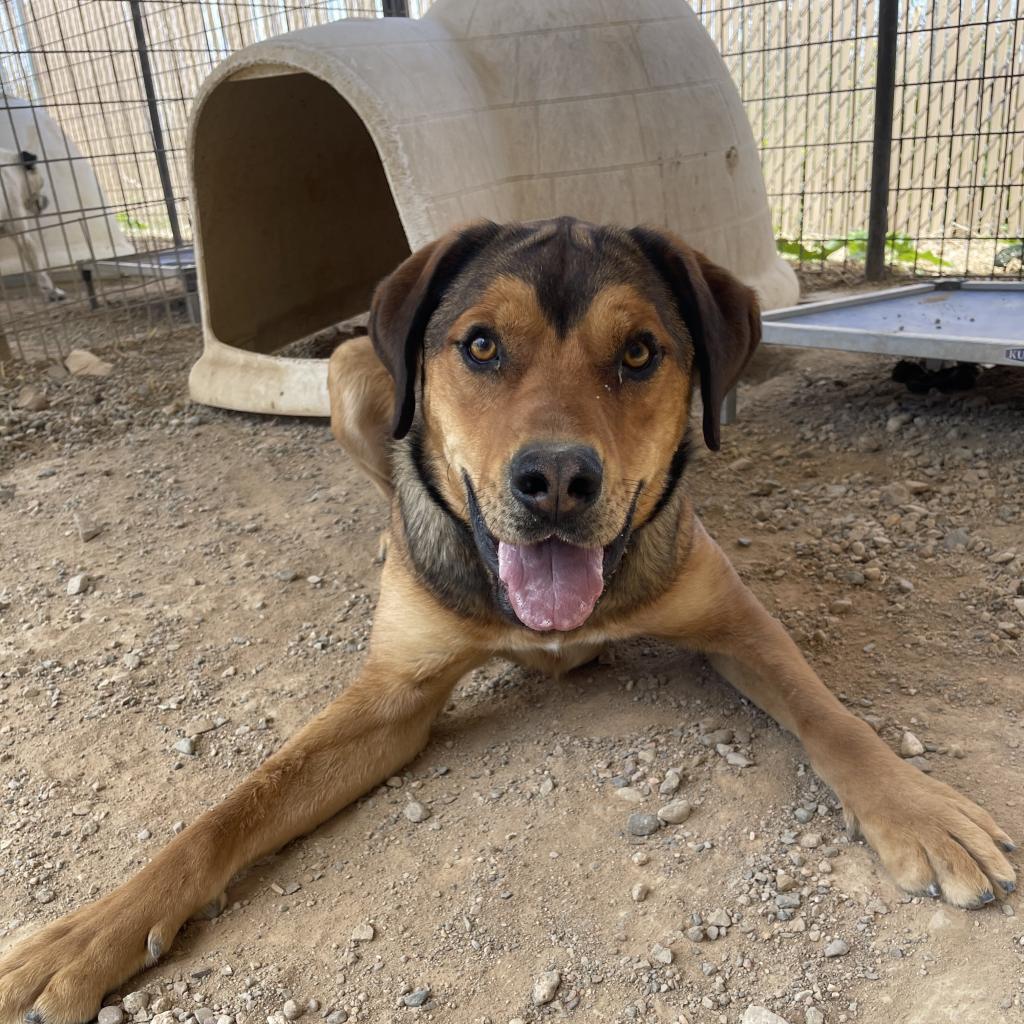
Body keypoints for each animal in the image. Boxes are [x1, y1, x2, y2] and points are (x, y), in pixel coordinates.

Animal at [0, 220, 1011, 1019]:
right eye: (481, 345)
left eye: (639, 352)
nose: (557, 478)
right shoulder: (393, 695)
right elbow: (227, 811)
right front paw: (86, 936)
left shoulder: (734, 619)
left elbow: (831, 716)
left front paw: (921, 810)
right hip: (350, 371)